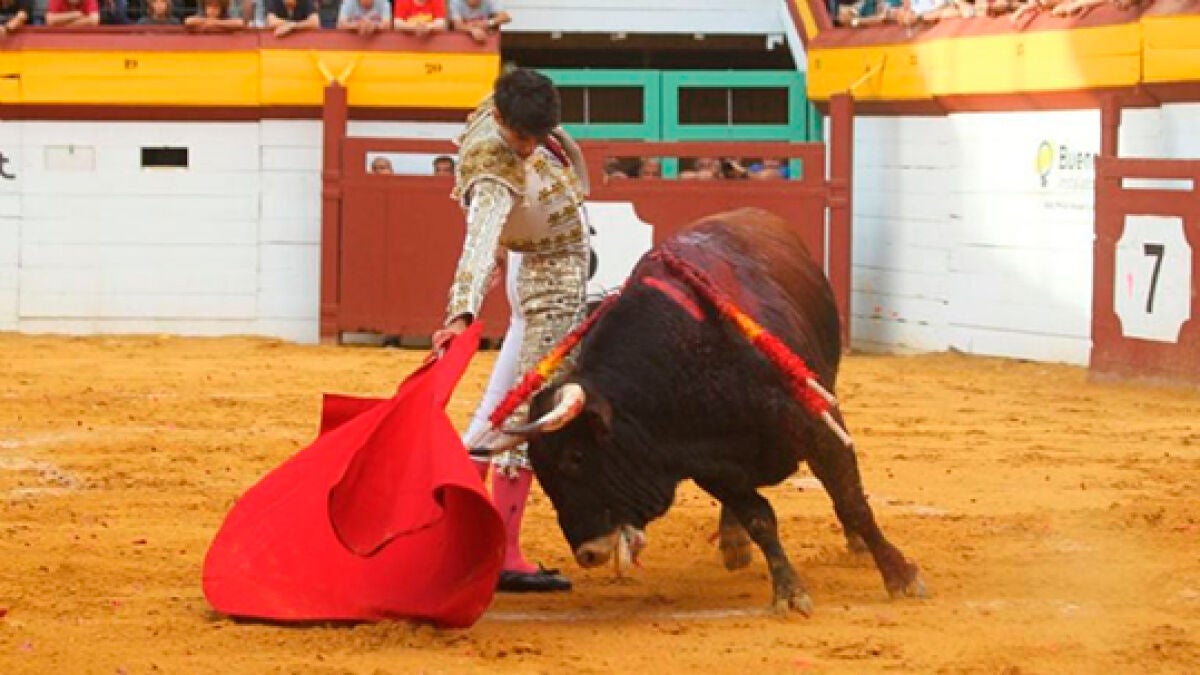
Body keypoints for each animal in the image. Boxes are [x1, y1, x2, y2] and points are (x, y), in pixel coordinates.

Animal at [514, 208, 926, 614]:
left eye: (575, 457)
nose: (586, 553)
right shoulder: (709, 466)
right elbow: (759, 519)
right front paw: (789, 591)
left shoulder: (815, 424)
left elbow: (852, 500)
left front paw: (900, 577)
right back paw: (733, 541)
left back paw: (856, 544)